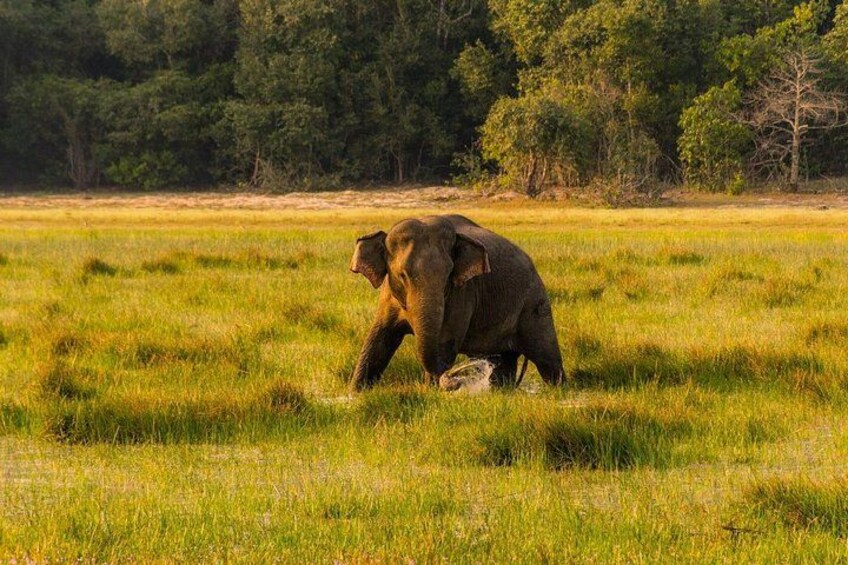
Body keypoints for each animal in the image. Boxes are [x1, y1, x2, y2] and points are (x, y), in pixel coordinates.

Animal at [349, 214, 564, 391]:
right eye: (402, 275)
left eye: (448, 275)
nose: (455, 378)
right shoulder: (388, 297)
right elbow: (379, 340)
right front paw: (356, 393)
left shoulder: (463, 293)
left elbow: (445, 342)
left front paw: (432, 392)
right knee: (503, 360)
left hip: (535, 305)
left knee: (546, 356)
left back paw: (558, 390)